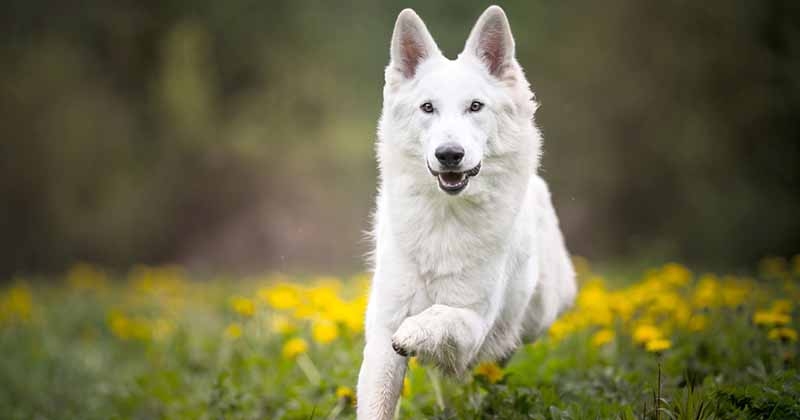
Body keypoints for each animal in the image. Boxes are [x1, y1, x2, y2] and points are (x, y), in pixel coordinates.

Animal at [356, 6, 576, 420]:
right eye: (428, 107)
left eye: (475, 106)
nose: (449, 154)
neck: (444, 218)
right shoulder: (381, 329)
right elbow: (378, 400)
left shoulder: (474, 322)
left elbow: (441, 316)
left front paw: (414, 331)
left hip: (537, 315)